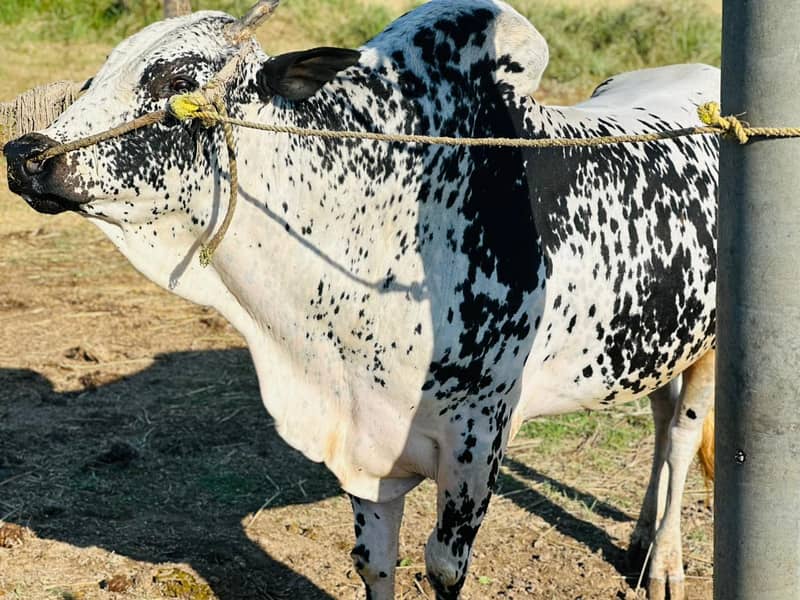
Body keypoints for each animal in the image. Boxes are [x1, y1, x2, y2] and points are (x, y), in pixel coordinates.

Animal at [4, 1, 718, 598]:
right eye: (101, 71)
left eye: (175, 76)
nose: (24, 153)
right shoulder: (364, 443)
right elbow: (375, 563)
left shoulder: (478, 441)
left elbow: (443, 568)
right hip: (660, 337)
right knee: (659, 418)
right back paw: (640, 541)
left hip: (711, 348)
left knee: (681, 436)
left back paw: (666, 565)